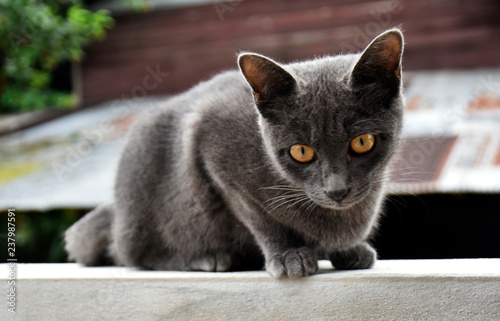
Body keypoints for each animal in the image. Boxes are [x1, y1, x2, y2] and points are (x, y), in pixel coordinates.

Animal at [64, 28, 404, 276]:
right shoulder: (215, 151)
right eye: (301, 151)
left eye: (362, 142)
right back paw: (210, 258)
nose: (337, 190)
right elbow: (260, 217)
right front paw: (288, 255)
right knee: (133, 253)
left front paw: (347, 250)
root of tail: (117, 212)